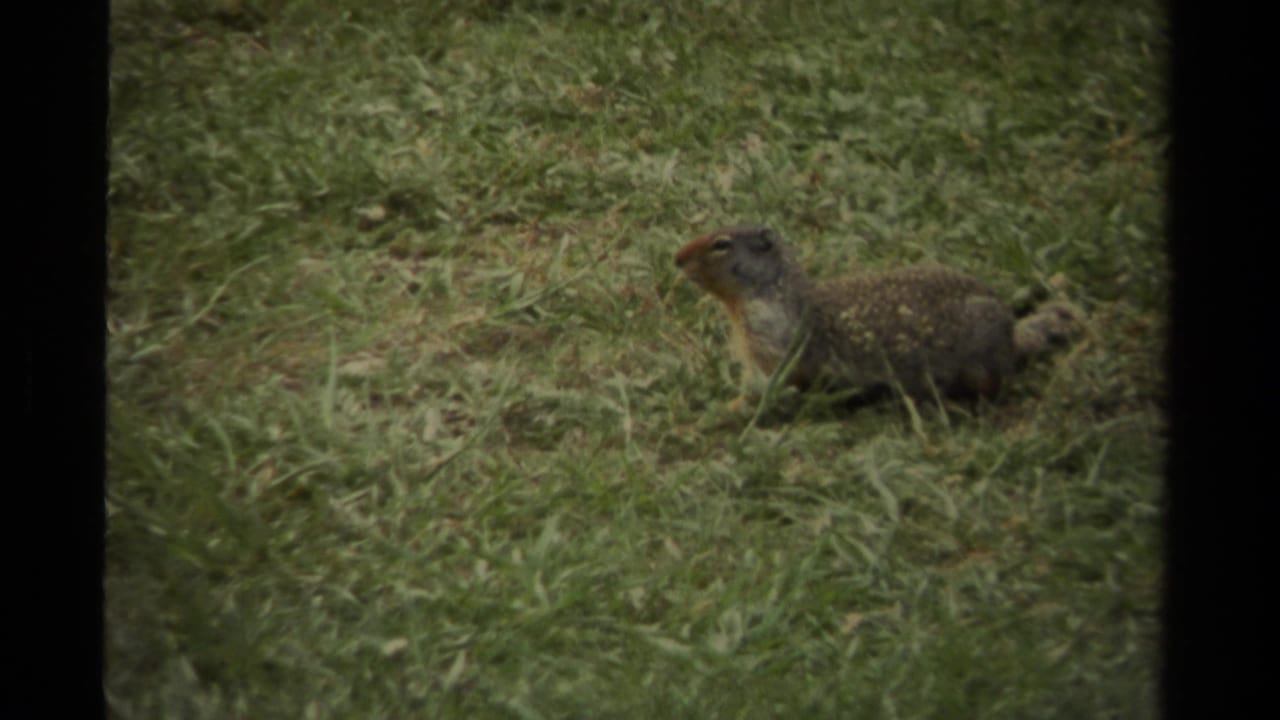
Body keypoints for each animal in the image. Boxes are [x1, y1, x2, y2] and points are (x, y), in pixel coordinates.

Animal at [674, 224, 1080, 410]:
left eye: (721, 244)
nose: (677, 257)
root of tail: (1012, 337)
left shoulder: (774, 343)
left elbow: (773, 384)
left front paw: (729, 407)